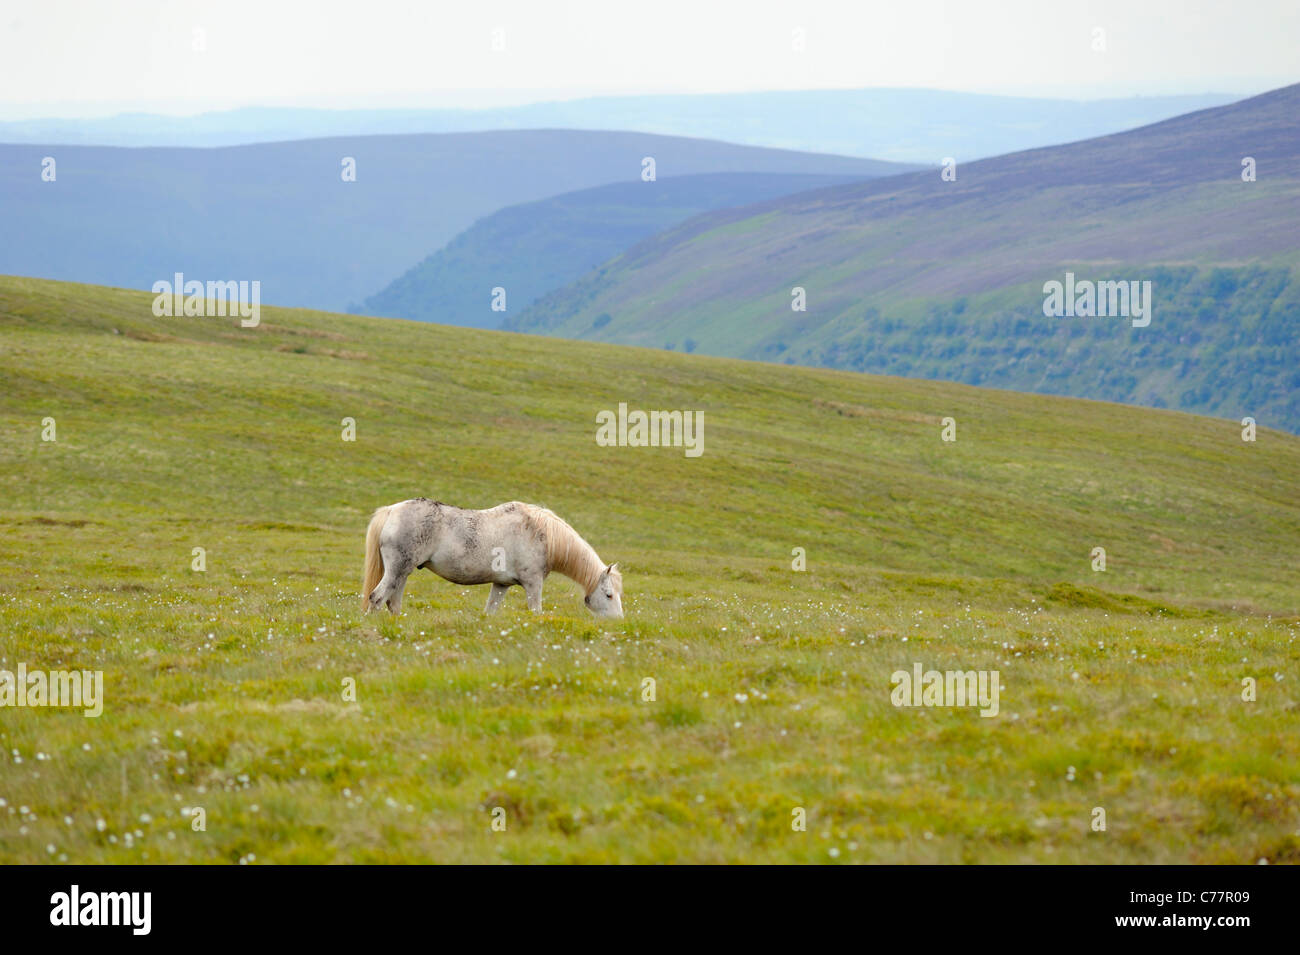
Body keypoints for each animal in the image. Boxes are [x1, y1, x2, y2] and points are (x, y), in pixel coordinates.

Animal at [361, 501, 624, 621]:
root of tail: (391, 510)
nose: (619, 621)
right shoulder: (533, 584)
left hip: (403, 573)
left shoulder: (501, 585)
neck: (541, 533)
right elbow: (536, 611)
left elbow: (490, 612)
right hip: (397, 570)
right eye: (609, 595)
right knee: (377, 598)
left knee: (393, 602)